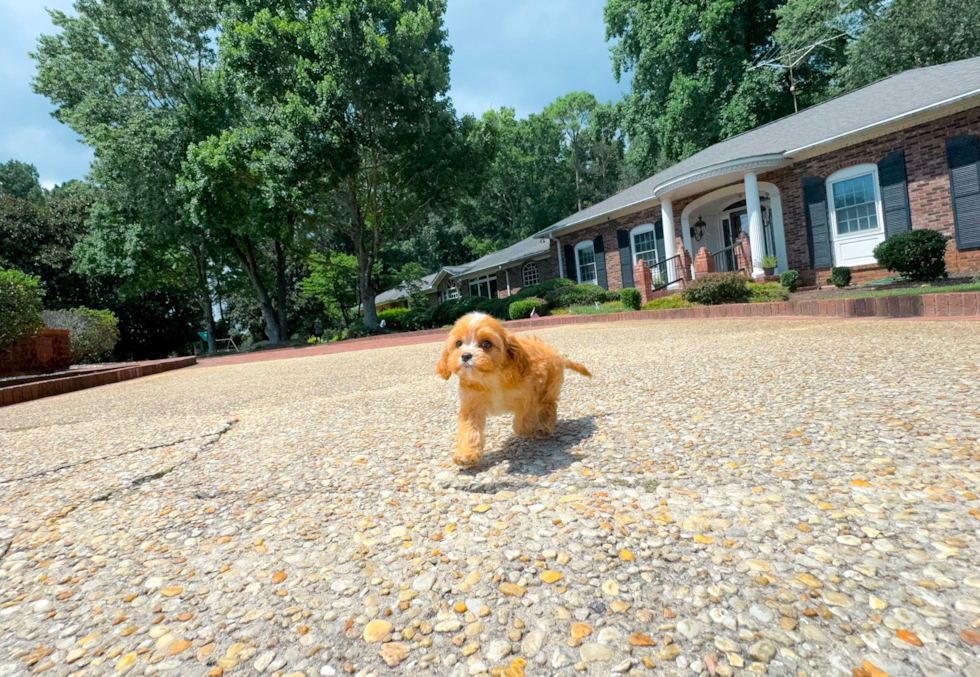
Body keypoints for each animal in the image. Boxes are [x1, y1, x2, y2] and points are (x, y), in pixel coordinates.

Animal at [436, 312, 588, 464]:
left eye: (486, 343)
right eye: (458, 343)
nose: (466, 355)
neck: (490, 378)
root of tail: (557, 355)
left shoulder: (529, 396)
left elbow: (522, 424)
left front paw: (532, 428)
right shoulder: (471, 404)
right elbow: (469, 428)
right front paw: (466, 453)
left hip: (548, 387)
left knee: (549, 405)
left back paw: (545, 426)